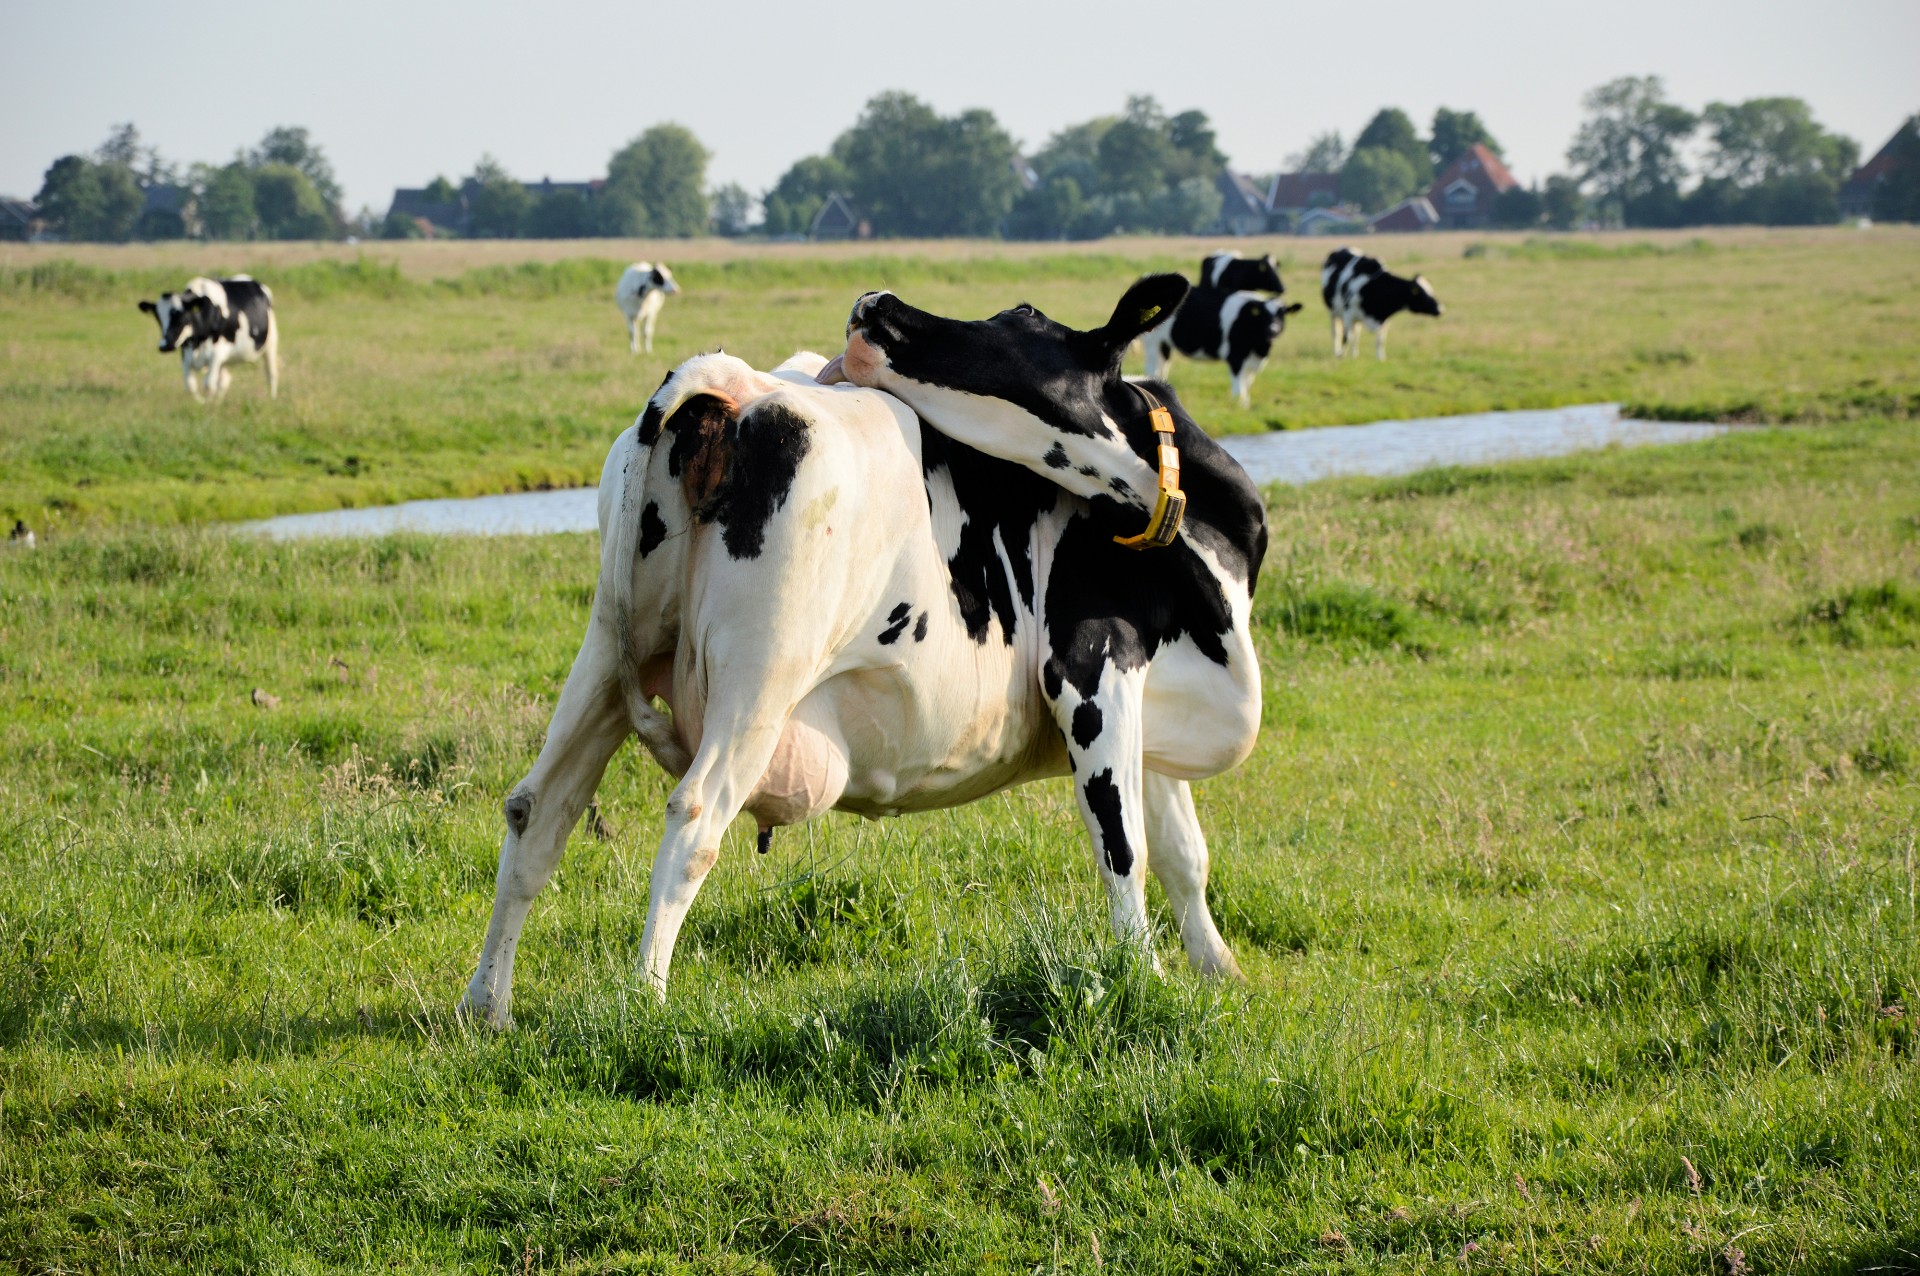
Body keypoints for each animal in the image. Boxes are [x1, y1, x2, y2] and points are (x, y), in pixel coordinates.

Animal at [135, 276, 276, 401]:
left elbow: (208, 384)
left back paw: (271, 399)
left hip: (271, 342)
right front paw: (200, 403)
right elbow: (190, 386)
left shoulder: (216, 354)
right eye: (158, 318)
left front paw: (208, 405)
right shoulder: (186, 354)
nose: (164, 346)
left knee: (271, 373)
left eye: (180, 315)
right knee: (224, 380)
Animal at [460, 274, 1274, 1020]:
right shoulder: (1092, 665)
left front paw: (1219, 971)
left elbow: (1183, 850)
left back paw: (486, 1005)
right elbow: (1123, 846)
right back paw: (644, 1004)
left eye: (1015, 318)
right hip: (762, 669)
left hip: (604, 649)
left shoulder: (1148, 700)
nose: (873, 301)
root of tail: (737, 384)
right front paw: (1144, 979)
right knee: (694, 816)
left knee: (537, 811)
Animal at [1136, 291, 1305, 404]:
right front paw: (1239, 404)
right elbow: (1238, 383)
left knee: (1163, 366)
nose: (1273, 330)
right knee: (1152, 366)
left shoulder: (1253, 361)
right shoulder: (1236, 356)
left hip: (1164, 344)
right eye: (1264, 314)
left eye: (1282, 313)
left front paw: (1246, 402)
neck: (1259, 348)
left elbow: (1247, 381)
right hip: (1152, 343)